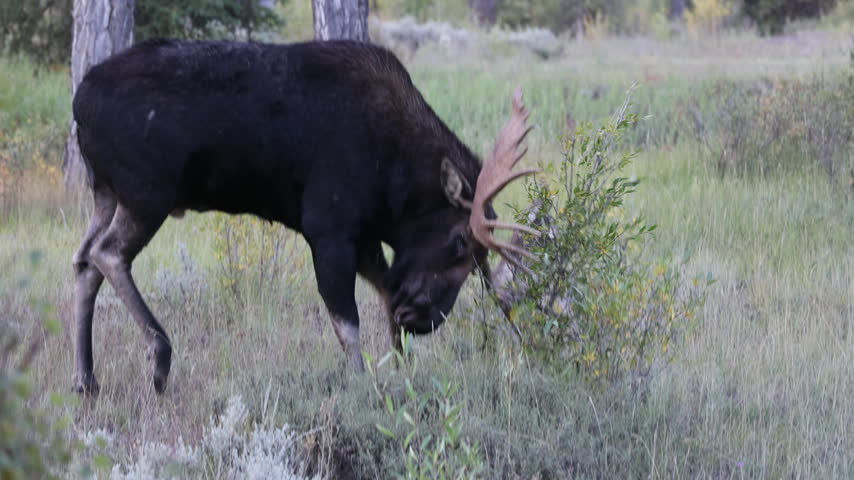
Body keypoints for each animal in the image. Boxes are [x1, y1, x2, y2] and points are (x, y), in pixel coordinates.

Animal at [70, 39, 538, 395]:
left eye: (478, 260)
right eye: (460, 242)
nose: (425, 318)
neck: (395, 185)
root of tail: (78, 102)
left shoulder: (365, 238)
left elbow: (386, 301)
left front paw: (402, 375)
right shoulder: (329, 229)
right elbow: (347, 324)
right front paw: (361, 386)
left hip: (106, 194)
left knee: (84, 262)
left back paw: (86, 379)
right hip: (147, 195)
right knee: (108, 254)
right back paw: (159, 358)